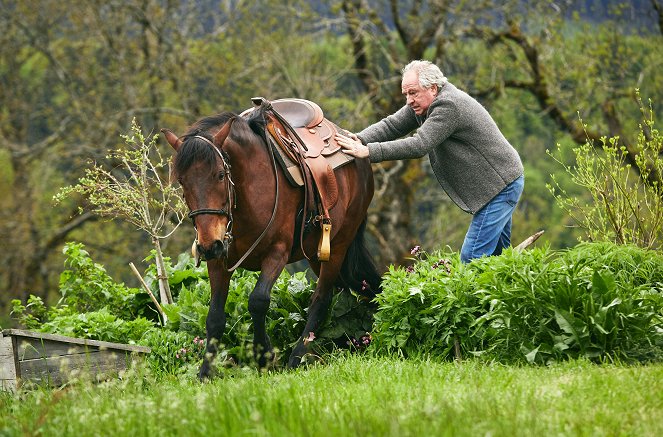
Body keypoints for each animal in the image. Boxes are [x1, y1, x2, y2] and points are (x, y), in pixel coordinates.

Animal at [163, 102, 382, 378]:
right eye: (182, 181)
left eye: (220, 175)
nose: (208, 245)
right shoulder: (219, 261)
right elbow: (214, 316)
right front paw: (205, 373)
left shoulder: (277, 253)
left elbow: (258, 301)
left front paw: (264, 356)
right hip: (315, 254)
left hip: (337, 246)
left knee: (321, 299)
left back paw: (297, 357)